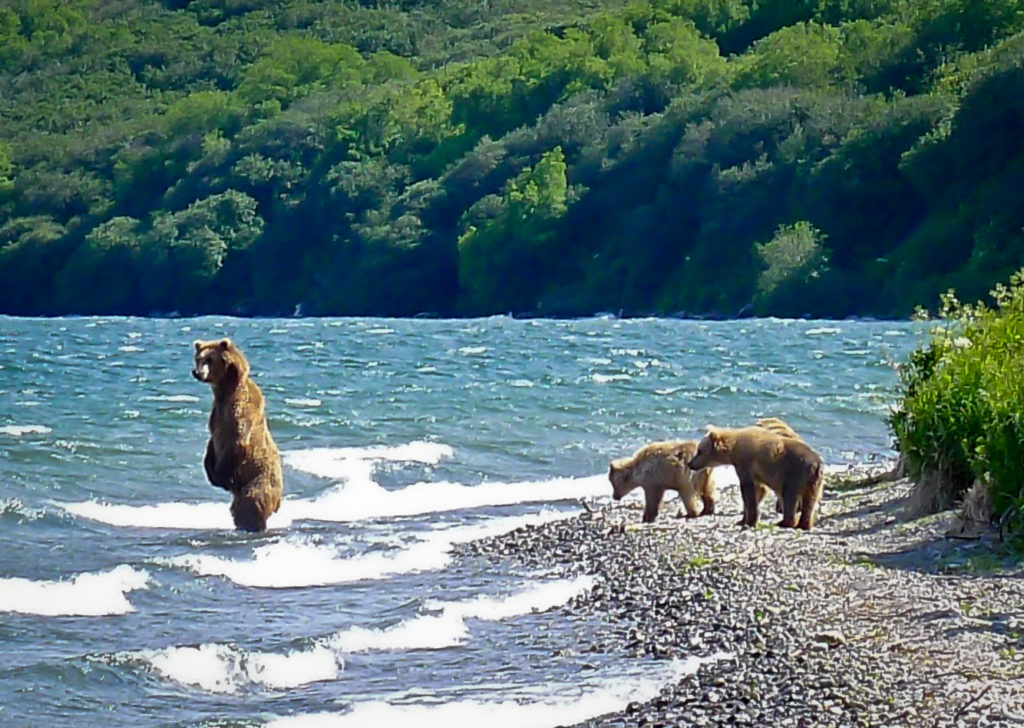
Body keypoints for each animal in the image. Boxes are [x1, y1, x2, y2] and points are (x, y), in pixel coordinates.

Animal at [192, 337, 282, 532]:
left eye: (209, 359)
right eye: (198, 358)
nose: (196, 372)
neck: (226, 391)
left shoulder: (240, 410)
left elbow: (237, 440)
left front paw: (221, 477)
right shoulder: (216, 414)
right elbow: (212, 441)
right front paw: (211, 472)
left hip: (259, 479)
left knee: (250, 503)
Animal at [688, 427, 823, 528]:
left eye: (699, 451)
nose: (690, 463)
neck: (733, 450)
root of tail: (816, 463)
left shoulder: (745, 464)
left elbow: (748, 492)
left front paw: (748, 521)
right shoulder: (755, 473)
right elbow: (758, 491)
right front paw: (743, 519)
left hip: (793, 472)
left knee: (789, 496)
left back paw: (784, 522)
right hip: (813, 481)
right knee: (810, 501)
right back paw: (804, 524)